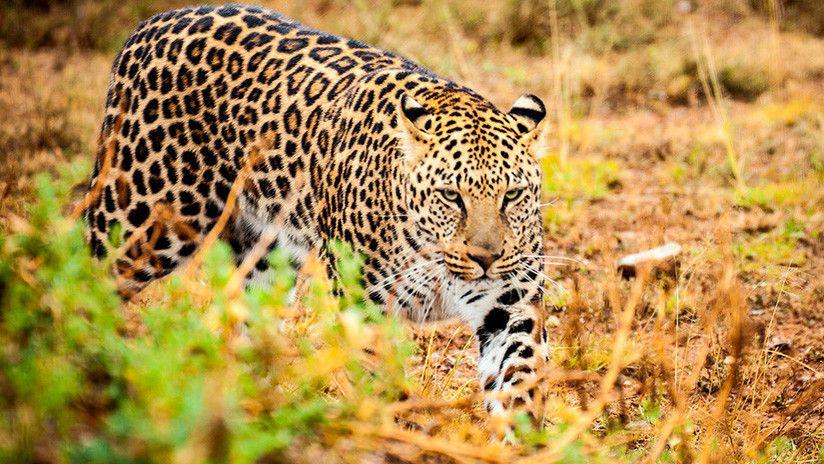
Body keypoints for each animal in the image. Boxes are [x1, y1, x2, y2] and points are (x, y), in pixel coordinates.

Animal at [84, 3, 551, 421]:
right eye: (452, 196)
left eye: (512, 195)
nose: (486, 258)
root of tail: (152, 23)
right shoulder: (364, 303)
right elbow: (373, 375)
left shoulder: (511, 305)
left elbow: (519, 375)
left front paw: (522, 438)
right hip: (141, 215)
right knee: (89, 273)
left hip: (266, 253)